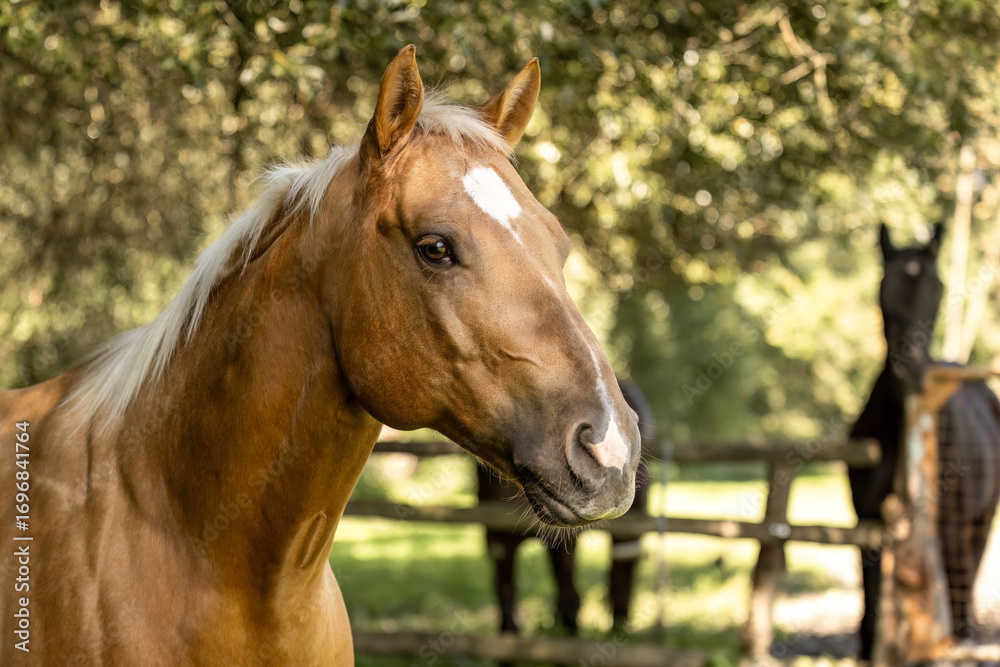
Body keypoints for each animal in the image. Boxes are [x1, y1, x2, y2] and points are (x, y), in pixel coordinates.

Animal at [848, 223, 1000, 659]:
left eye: (937, 286)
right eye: (885, 285)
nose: (911, 367)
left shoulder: (950, 520)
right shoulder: (867, 518)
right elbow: (870, 583)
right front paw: (869, 647)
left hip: (979, 517)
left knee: (965, 567)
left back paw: (962, 631)